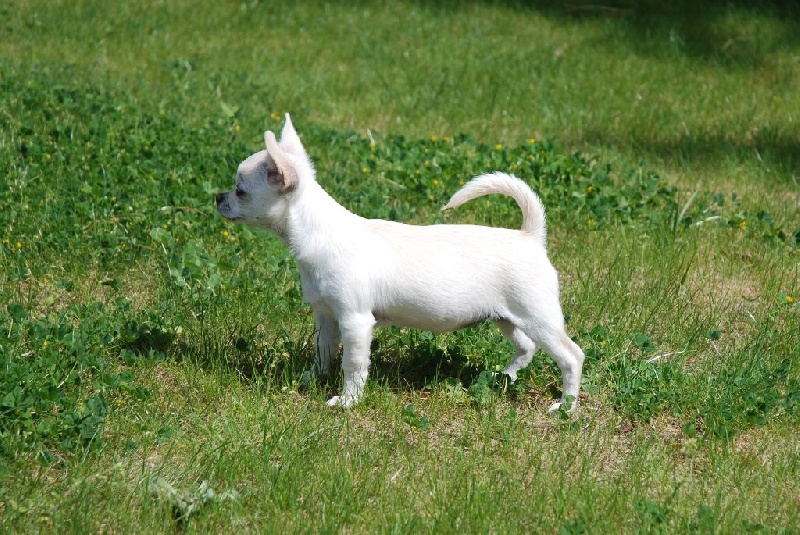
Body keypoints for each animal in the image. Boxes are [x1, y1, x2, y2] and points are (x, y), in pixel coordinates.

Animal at [216, 114, 585, 411]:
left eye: (240, 190)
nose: (218, 197)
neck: (317, 233)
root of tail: (530, 236)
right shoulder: (326, 317)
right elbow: (324, 354)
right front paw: (310, 379)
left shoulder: (355, 321)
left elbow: (352, 364)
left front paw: (347, 401)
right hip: (506, 317)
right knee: (526, 348)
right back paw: (501, 377)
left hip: (538, 317)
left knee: (571, 356)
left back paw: (566, 405)